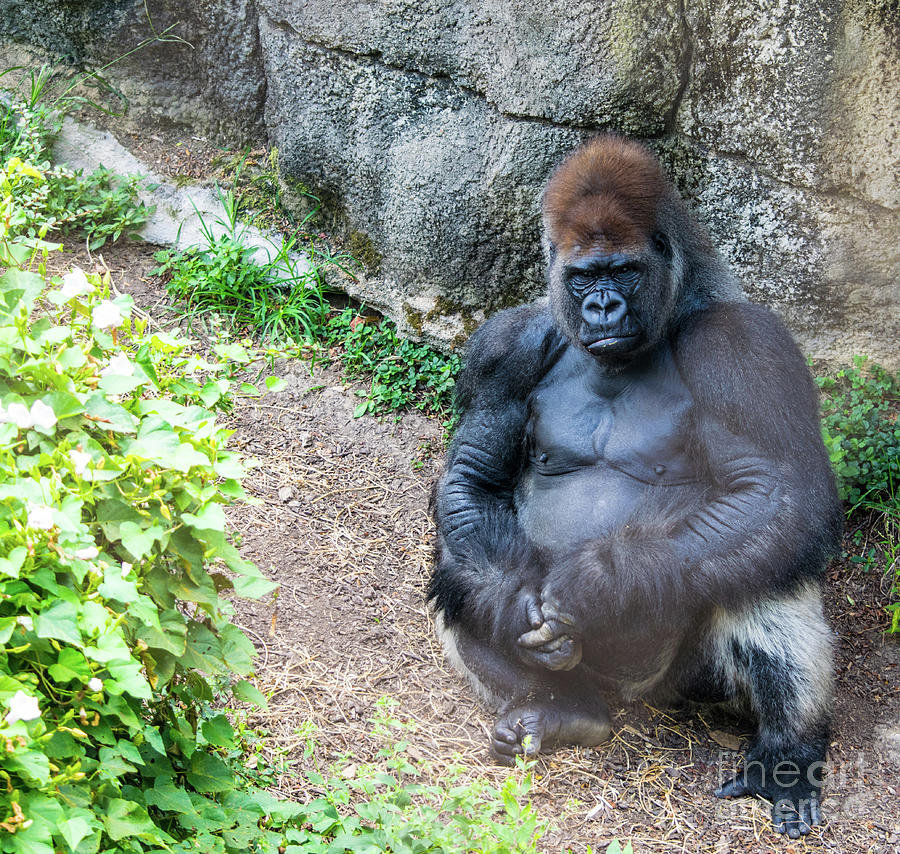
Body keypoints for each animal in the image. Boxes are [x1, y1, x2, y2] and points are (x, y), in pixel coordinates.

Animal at [428, 135, 844, 844]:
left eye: (621, 271)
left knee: (762, 567)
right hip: (592, 677)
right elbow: (473, 481)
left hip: (683, 687)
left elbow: (776, 493)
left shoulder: (744, 349)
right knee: (460, 573)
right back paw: (561, 709)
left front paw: (598, 585)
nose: (602, 306)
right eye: (582, 277)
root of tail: (628, 699)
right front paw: (517, 603)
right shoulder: (505, 347)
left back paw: (786, 753)